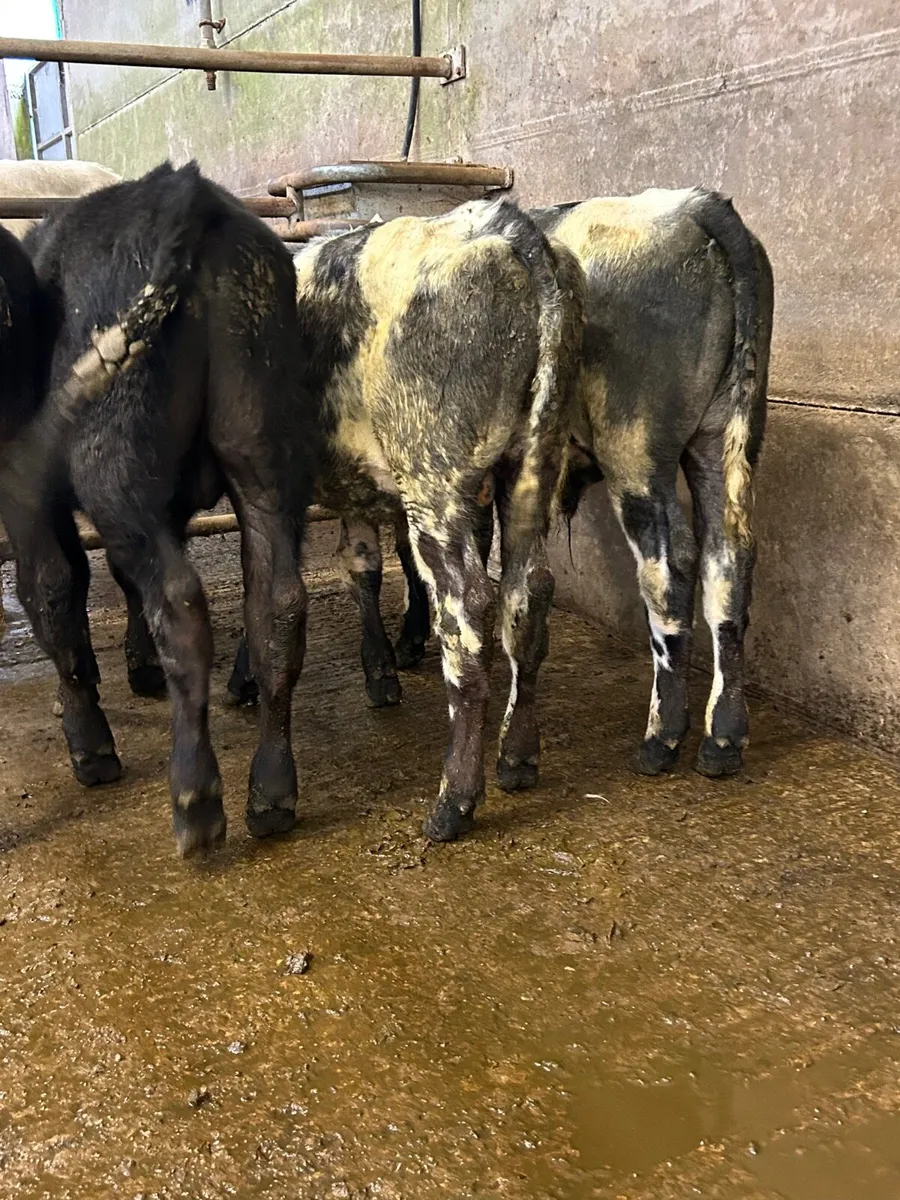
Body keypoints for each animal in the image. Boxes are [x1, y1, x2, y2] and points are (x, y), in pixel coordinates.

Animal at [1, 161, 321, 856]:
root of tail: (183, 190)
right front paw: (136, 665)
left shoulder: (24, 487)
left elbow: (52, 589)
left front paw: (88, 741)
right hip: (263, 454)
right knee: (278, 604)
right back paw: (272, 793)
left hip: (114, 465)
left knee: (178, 599)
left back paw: (196, 800)